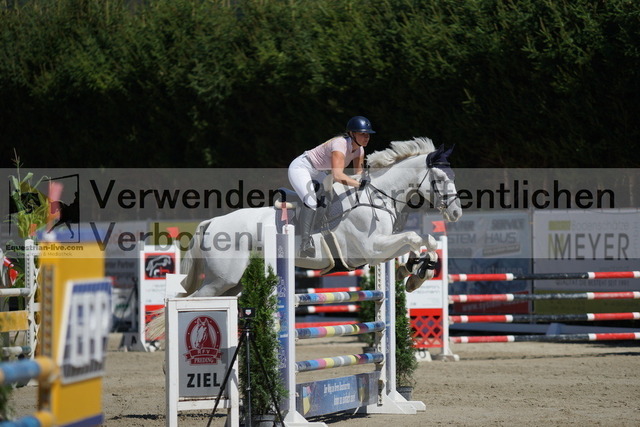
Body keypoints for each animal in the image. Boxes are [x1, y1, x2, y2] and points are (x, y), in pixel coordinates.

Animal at [148, 139, 462, 340]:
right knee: (190, 301)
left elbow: (424, 241)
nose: (457, 213)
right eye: (439, 179)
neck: (378, 197)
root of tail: (212, 222)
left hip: (232, 283)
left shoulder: (384, 246)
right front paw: (416, 273)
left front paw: (414, 273)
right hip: (222, 280)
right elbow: (416, 237)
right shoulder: (371, 249)